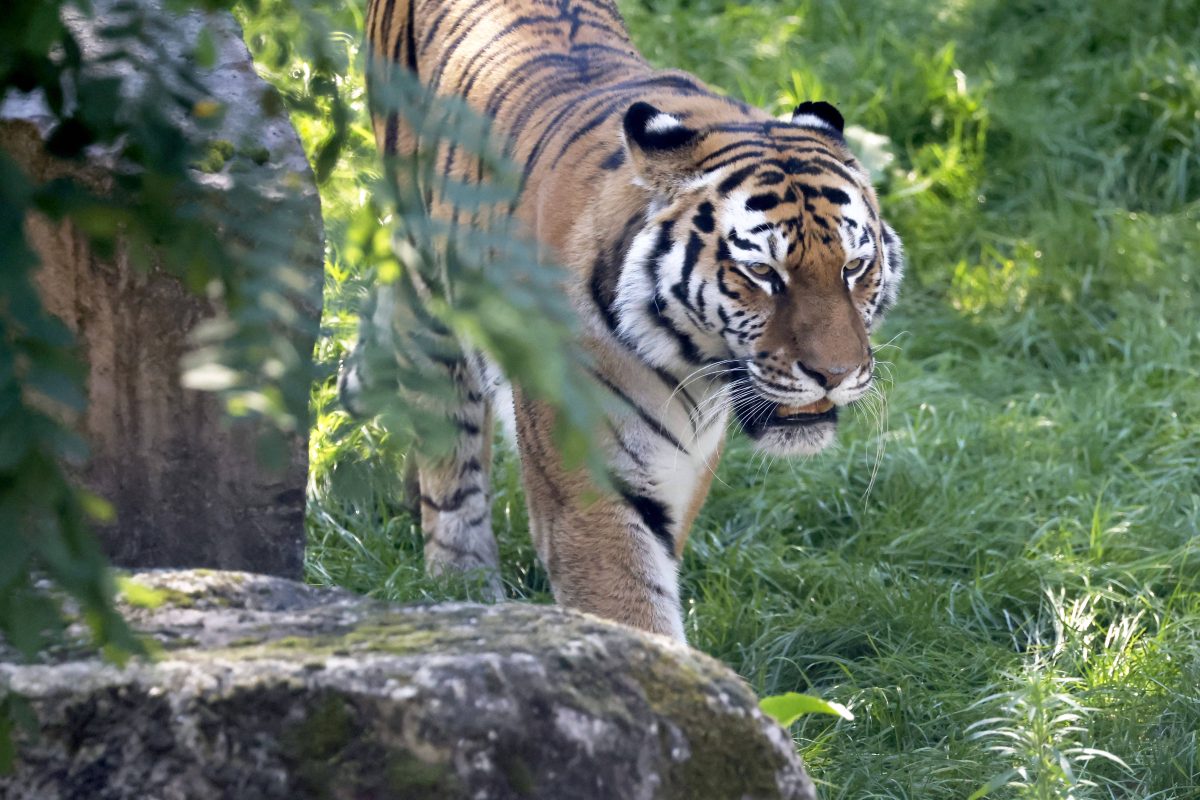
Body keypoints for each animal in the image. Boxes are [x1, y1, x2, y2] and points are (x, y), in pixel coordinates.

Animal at [350, 0, 905, 641]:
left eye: (854, 266)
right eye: (764, 272)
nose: (835, 375)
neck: (690, 367)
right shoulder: (589, 481)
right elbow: (631, 612)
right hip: (428, 289)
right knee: (449, 450)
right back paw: (461, 589)